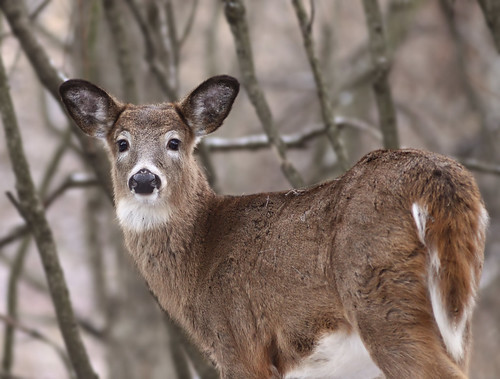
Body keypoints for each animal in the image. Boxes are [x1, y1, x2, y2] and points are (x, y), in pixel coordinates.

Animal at [59, 75, 488, 379]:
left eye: (175, 142)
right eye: (122, 143)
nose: (144, 179)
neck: (200, 258)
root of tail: (440, 178)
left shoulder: (239, 345)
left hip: (380, 293)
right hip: (459, 314)